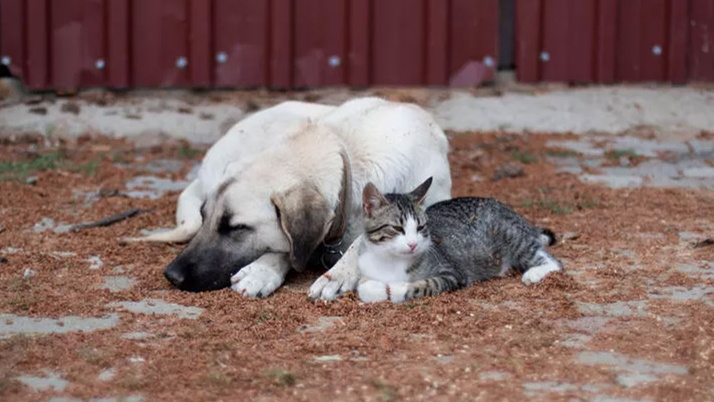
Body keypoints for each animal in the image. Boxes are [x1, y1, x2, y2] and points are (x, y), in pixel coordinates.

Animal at [126, 97, 450, 298]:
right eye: (206, 217)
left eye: (237, 228)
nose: (172, 275)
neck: (346, 152)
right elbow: (290, 247)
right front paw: (262, 270)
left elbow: (361, 242)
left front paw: (338, 273)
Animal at [356, 177, 560, 304]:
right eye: (398, 228)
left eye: (420, 227)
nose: (413, 244)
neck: (392, 260)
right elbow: (363, 288)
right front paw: (379, 288)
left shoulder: (452, 273)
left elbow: (425, 285)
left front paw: (397, 289)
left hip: (510, 233)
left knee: (554, 262)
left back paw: (534, 273)